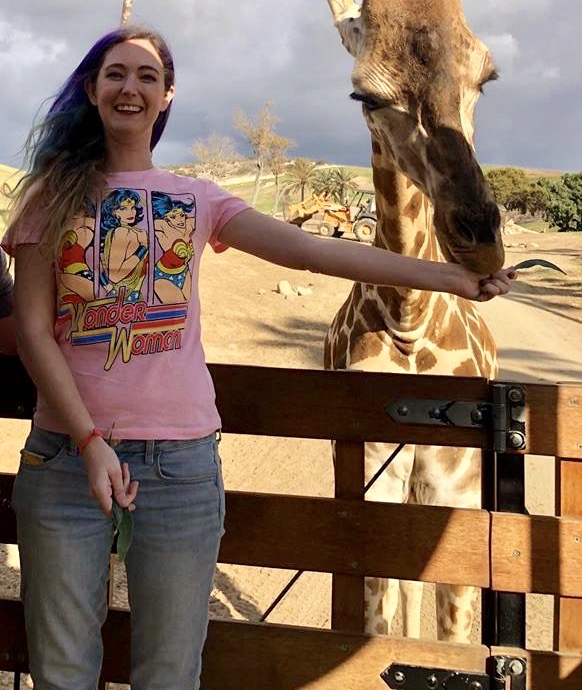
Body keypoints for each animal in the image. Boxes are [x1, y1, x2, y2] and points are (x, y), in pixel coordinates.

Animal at [324, 0, 506, 640]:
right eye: (365, 96)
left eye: (486, 78)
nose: (481, 244)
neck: (410, 318)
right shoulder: (370, 485)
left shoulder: (458, 492)